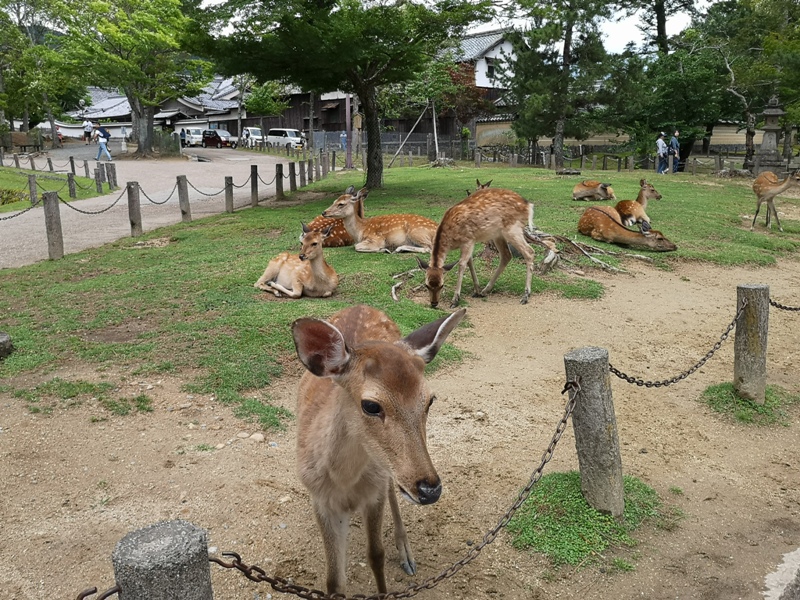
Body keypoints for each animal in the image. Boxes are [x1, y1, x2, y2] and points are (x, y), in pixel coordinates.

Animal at [292, 304, 466, 596]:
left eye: (430, 400)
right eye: (371, 405)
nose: (430, 489)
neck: (344, 481)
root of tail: (362, 305)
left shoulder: (374, 492)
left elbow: (376, 555)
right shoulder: (321, 500)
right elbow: (333, 580)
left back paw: (406, 553)